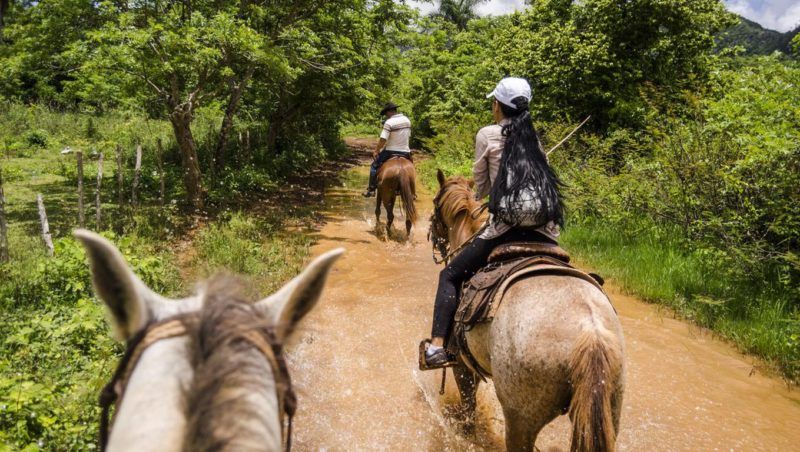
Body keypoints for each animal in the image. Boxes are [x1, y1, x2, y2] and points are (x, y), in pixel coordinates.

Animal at [432, 170, 624, 452]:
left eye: (435, 203)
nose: (432, 234)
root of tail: (590, 333)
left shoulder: (462, 364)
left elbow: (468, 409)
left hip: (522, 416)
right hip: (607, 411)